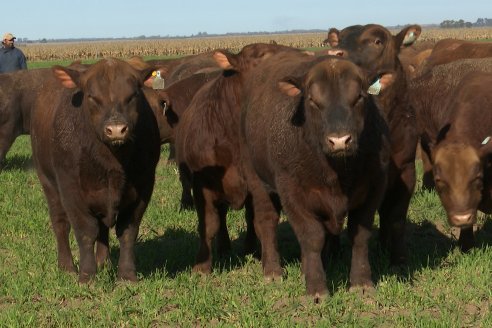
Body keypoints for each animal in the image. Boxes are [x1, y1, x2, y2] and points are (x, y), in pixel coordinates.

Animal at [29, 58, 160, 282]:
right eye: (92, 97)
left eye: (133, 95)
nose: (116, 130)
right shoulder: (71, 190)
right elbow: (85, 231)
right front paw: (87, 276)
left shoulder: (143, 187)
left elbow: (128, 232)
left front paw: (126, 276)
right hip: (48, 182)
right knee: (60, 223)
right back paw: (67, 266)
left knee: (103, 228)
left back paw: (104, 262)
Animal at [173, 42, 304, 276]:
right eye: (265, 57)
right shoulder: (202, 185)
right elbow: (209, 223)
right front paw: (201, 267)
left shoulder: (261, 185)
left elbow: (263, 221)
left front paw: (271, 268)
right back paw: (224, 247)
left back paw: (251, 248)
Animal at [332, 23, 420, 266]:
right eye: (337, 39)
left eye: (377, 41)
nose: (334, 53)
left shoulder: (406, 171)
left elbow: (396, 218)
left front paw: (399, 258)